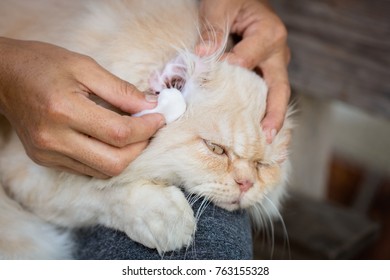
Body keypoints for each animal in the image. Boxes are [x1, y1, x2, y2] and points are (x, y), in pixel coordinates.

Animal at [0, 0, 292, 260]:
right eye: (216, 149)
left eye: (262, 165)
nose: (246, 185)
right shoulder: (26, 169)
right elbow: (93, 192)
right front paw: (168, 219)